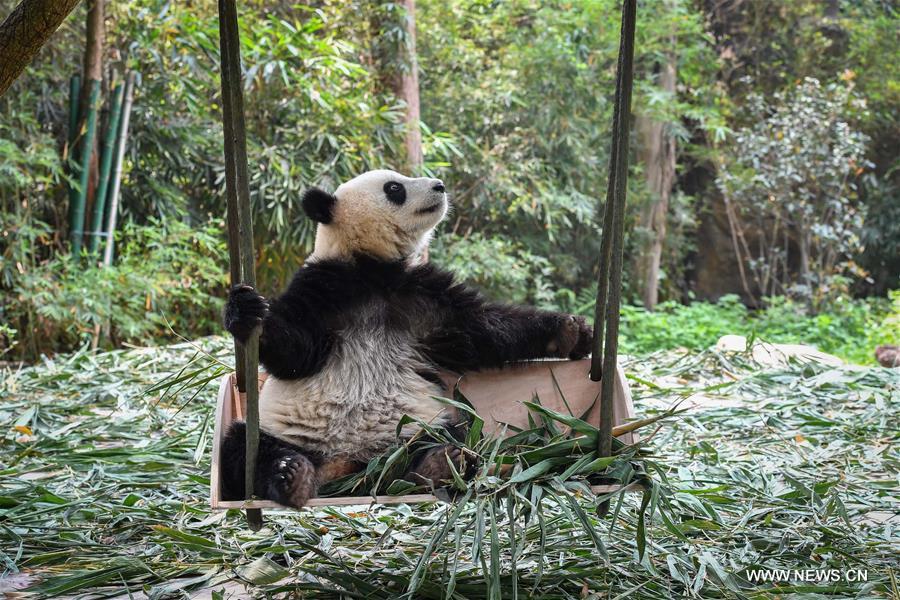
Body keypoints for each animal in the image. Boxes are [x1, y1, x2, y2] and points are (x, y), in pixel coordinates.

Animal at [221, 169, 596, 506]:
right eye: (394, 188)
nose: (440, 185)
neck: (373, 269)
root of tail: (350, 465)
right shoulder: (323, 287)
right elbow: (293, 353)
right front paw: (247, 311)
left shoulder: (423, 297)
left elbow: (481, 329)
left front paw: (572, 332)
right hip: (288, 432)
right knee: (244, 448)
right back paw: (290, 476)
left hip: (418, 425)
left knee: (442, 440)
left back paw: (438, 463)